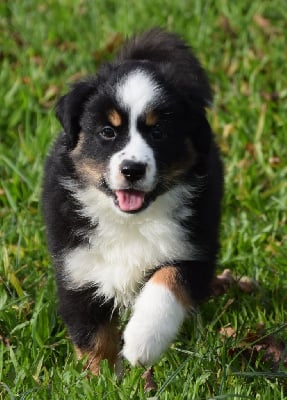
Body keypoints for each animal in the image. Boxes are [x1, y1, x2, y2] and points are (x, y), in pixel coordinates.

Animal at [42, 28, 224, 376]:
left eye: (159, 133)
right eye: (107, 132)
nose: (132, 169)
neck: (130, 221)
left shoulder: (194, 248)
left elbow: (167, 281)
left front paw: (142, 342)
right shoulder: (76, 264)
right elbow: (93, 334)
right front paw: (100, 378)